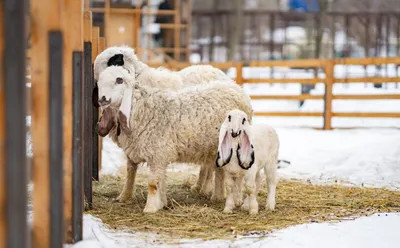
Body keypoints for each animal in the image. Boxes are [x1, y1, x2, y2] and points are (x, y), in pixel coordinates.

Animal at [94, 66, 253, 213]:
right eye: (99, 81)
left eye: (119, 80)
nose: (102, 99)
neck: (142, 109)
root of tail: (237, 88)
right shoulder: (158, 155)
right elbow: (157, 180)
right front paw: (161, 202)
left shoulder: (157, 153)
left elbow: (153, 183)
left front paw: (150, 208)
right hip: (216, 148)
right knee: (219, 170)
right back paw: (218, 196)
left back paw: (235, 199)